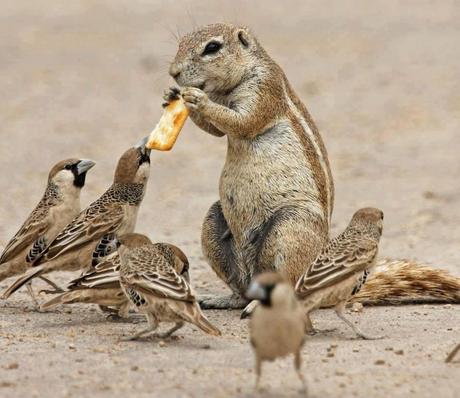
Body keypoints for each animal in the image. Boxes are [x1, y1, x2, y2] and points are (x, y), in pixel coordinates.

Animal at [169, 22, 460, 308]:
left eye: (212, 47)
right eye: (180, 42)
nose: (173, 73)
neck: (241, 76)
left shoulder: (265, 90)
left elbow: (242, 121)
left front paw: (197, 100)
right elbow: (216, 130)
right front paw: (173, 95)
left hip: (289, 228)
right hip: (214, 226)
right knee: (241, 289)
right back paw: (223, 299)